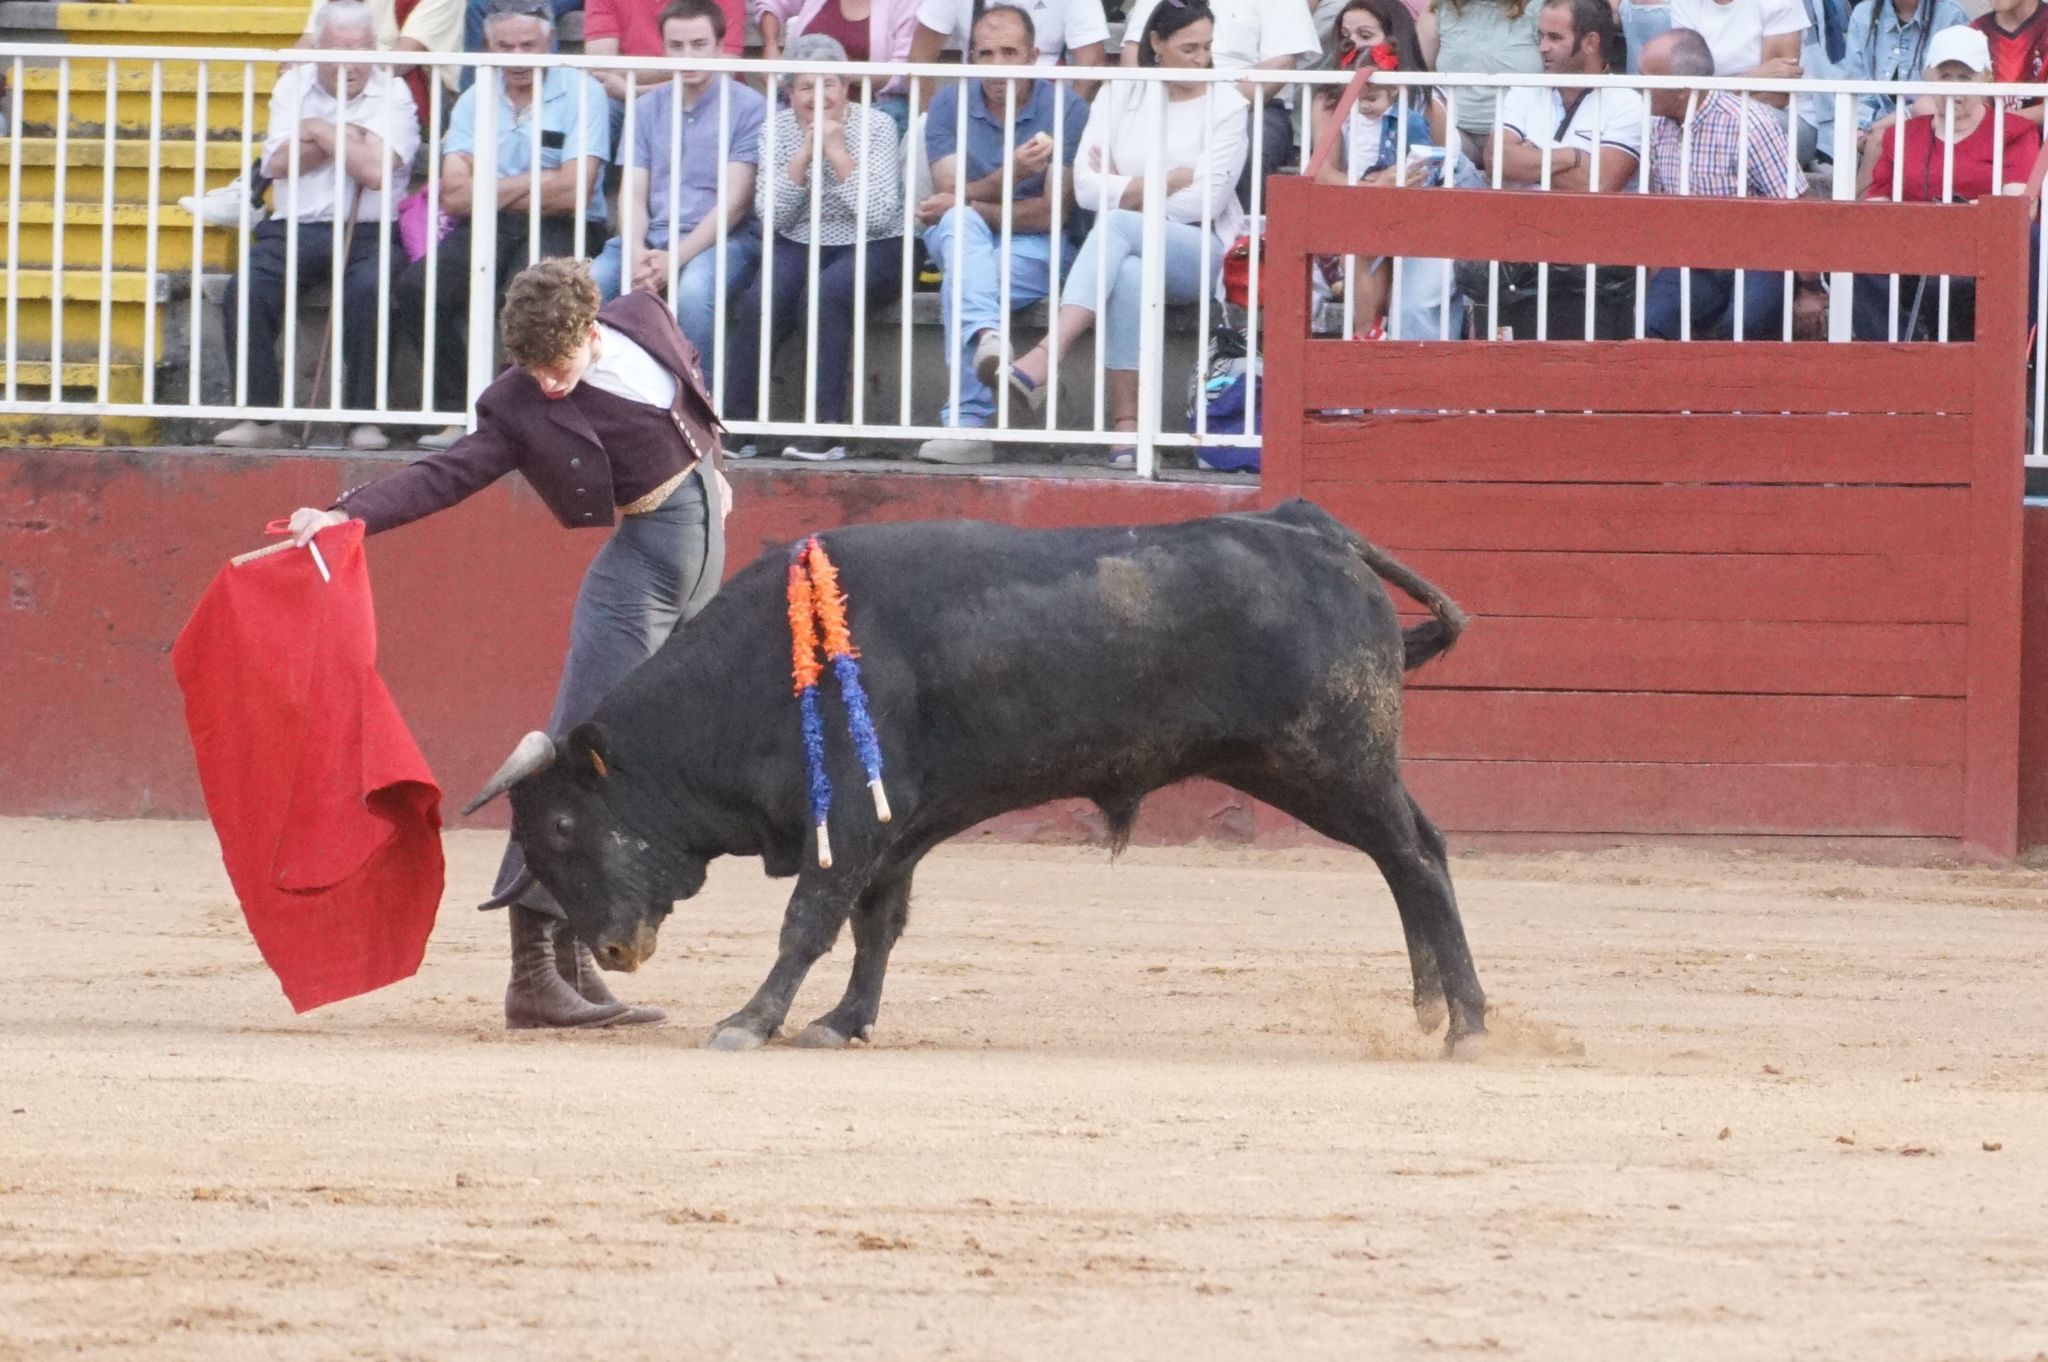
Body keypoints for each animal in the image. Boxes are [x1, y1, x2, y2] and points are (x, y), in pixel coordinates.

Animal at [468, 499, 1490, 1048]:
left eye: (563, 825)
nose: (613, 950)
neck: (758, 668)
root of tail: (1312, 529)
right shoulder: (897, 831)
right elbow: (876, 926)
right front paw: (844, 1020)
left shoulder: (852, 820)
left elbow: (809, 921)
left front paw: (751, 1020)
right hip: (1327, 770)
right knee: (1414, 858)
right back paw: (1430, 1008)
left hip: (1331, 763)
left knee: (1417, 863)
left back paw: (1468, 1024)